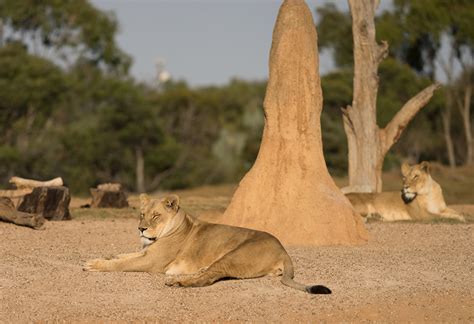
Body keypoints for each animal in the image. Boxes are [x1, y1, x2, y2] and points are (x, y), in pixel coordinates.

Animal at [84, 194, 330, 294]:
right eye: (142, 214)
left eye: (156, 216)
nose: (141, 228)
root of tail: (283, 250)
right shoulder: (146, 253)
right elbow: (123, 256)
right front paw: (106, 257)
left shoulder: (153, 262)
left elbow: (120, 264)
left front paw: (93, 264)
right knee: (208, 273)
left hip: (233, 255)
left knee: (208, 278)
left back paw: (177, 282)